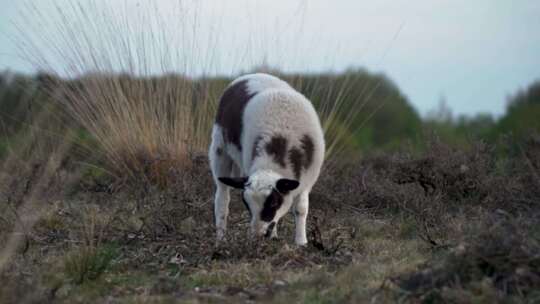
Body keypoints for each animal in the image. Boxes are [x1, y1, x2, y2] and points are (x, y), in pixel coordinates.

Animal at [207, 72, 324, 246]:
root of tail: (250, 75)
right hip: (219, 149)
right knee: (222, 198)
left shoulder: (307, 180)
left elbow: (301, 209)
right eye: (246, 203)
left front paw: (301, 242)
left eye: (273, 202)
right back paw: (221, 238)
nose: (258, 235)